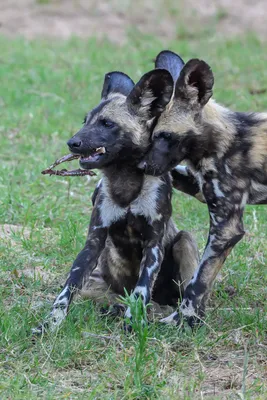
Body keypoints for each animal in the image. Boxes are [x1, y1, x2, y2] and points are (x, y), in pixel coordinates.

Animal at [33, 69, 201, 334]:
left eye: (107, 124)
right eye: (85, 121)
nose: (72, 143)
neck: (125, 181)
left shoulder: (153, 245)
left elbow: (141, 290)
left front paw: (134, 323)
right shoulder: (93, 243)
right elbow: (67, 288)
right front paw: (51, 323)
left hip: (184, 243)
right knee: (113, 297)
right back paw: (117, 308)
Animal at [138, 50, 267, 324]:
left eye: (164, 136)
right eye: (149, 134)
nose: (142, 165)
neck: (222, 141)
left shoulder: (226, 227)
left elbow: (198, 281)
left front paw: (181, 321)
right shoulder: (200, 187)